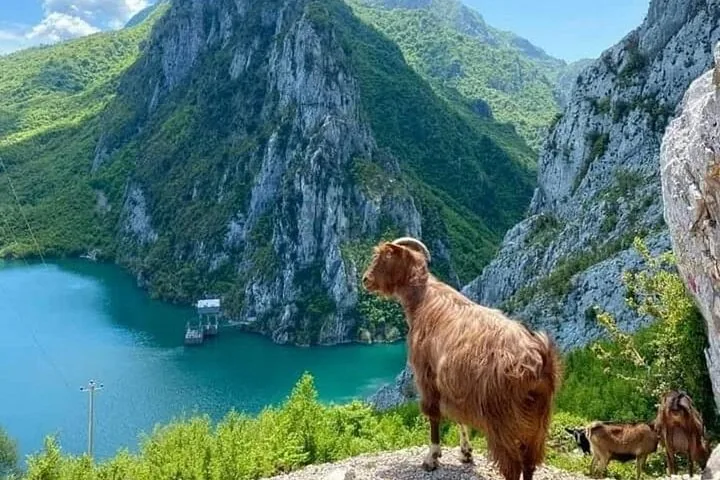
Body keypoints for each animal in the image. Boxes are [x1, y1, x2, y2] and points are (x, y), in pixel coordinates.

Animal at [362, 237, 562, 480]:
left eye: (385, 256)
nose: (365, 279)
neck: (424, 300)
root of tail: (537, 360)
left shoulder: (426, 374)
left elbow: (433, 413)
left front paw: (432, 458)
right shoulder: (456, 386)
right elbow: (459, 417)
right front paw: (466, 452)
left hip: (503, 421)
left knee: (513, 467)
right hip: (538, 424)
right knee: (530, 464)